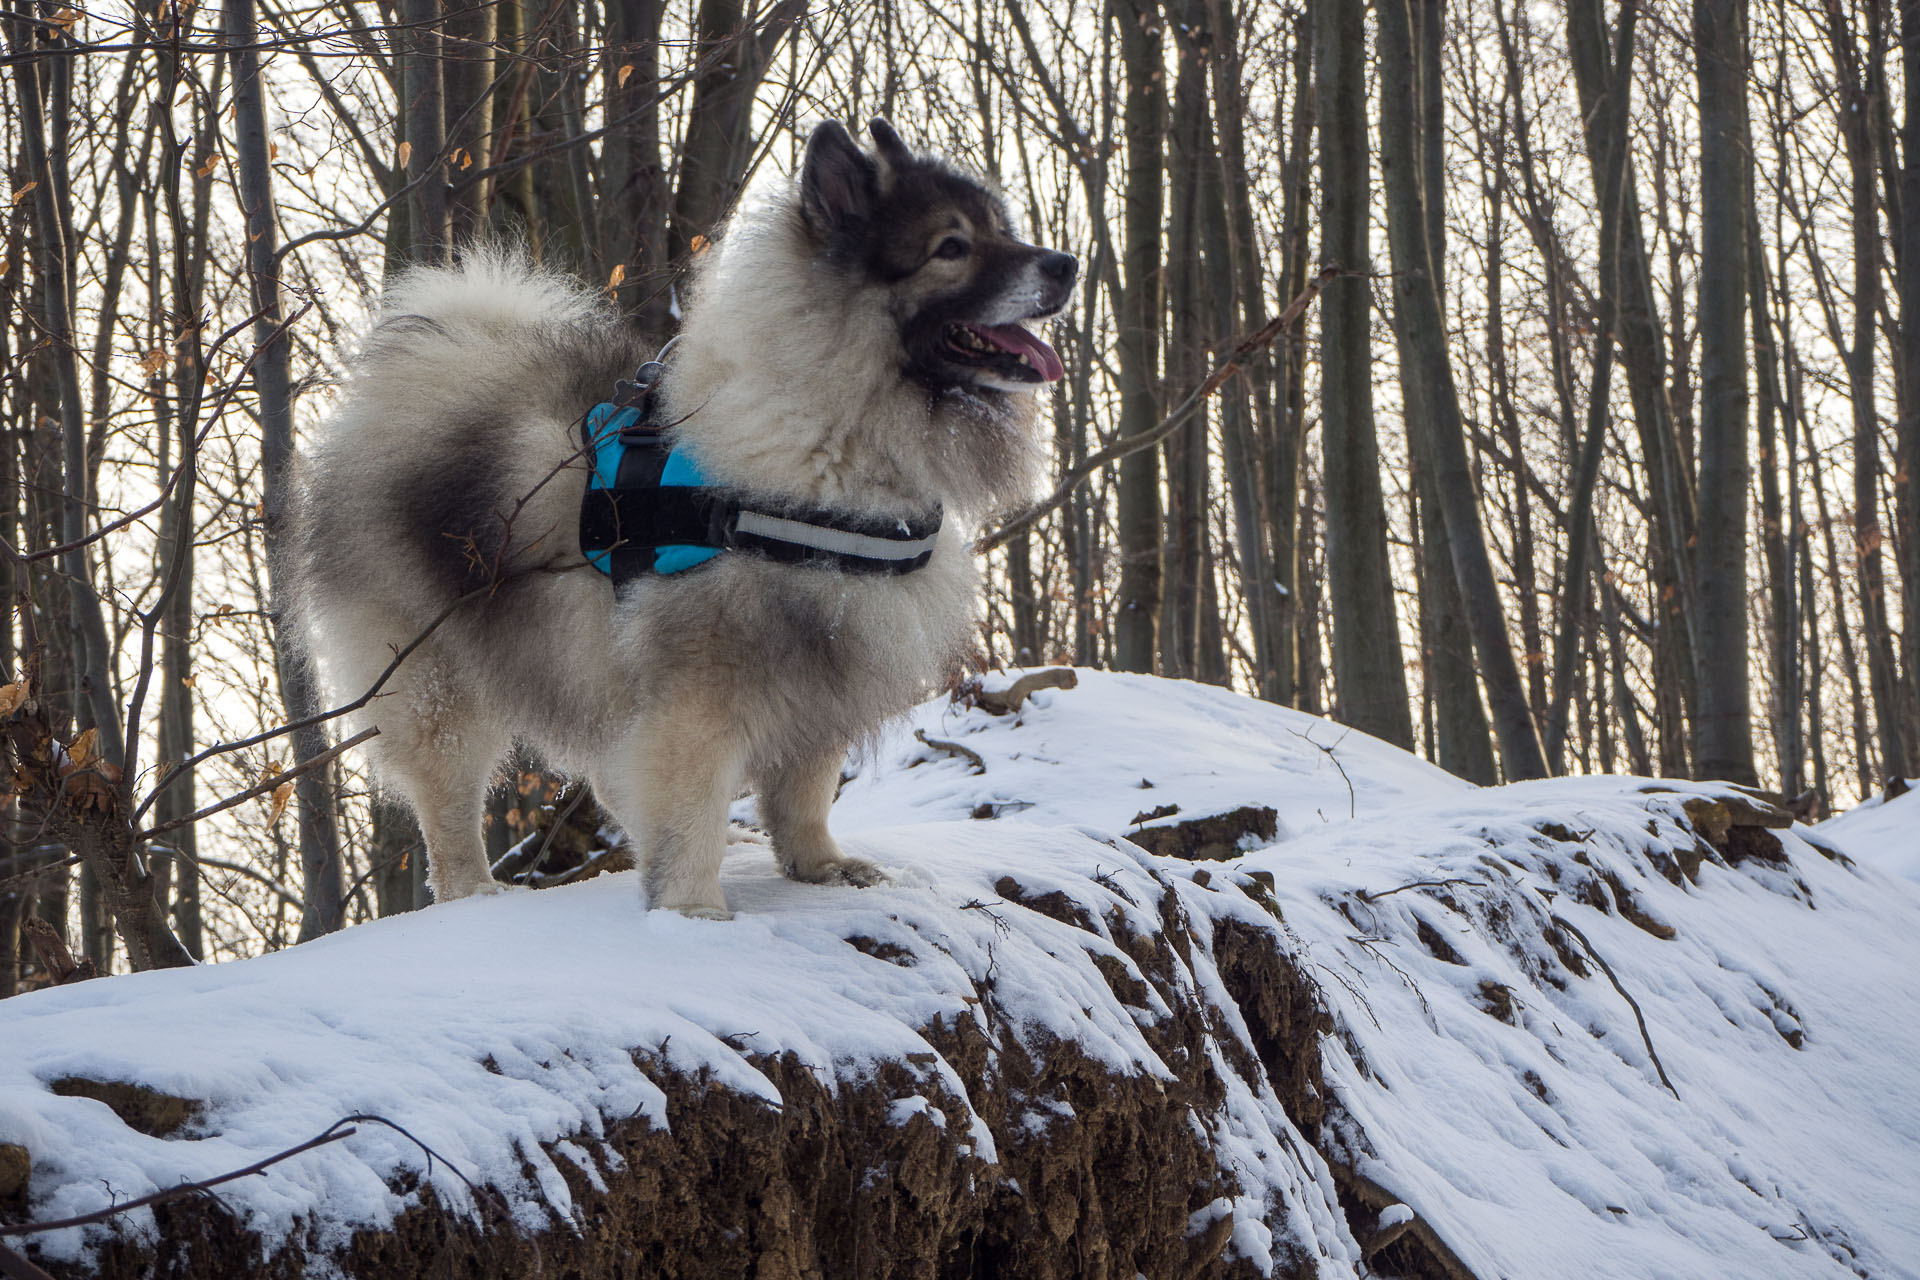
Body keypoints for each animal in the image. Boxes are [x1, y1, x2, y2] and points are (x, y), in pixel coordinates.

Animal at [293, 119, 1090, 917]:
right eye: (951, 247)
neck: (830, 430)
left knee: (610, 772)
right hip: (436, 678)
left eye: (1000, 229)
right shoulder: (704, 682)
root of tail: (417, 376)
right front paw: (692, 907)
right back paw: (475, 892)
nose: (1067, 263)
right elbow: (692, 798)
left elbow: (804, 791)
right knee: (451, 804)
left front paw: (821, 866)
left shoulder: (825, 658)